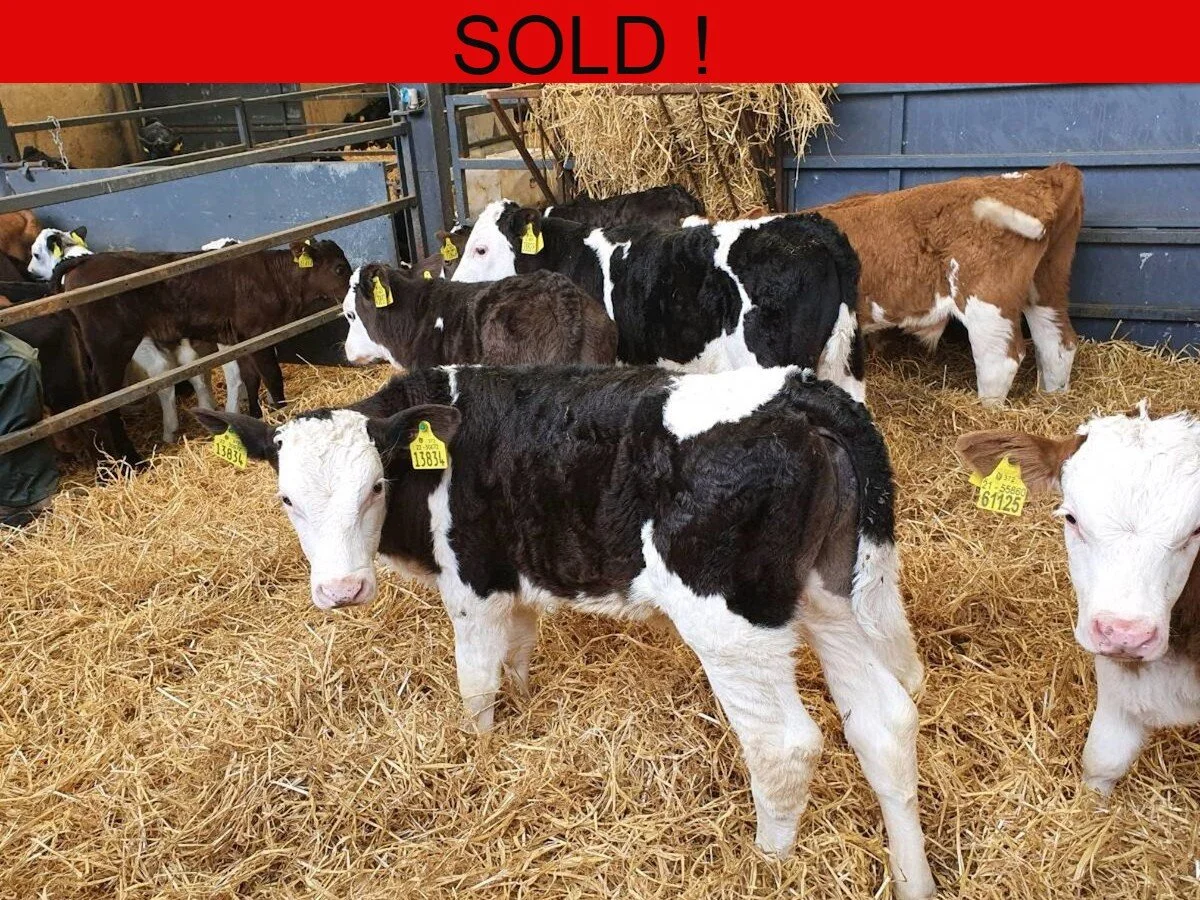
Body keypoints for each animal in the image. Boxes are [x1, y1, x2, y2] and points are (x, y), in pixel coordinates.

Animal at [60, 238, 351, 465]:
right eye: (339, 268)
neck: (276, 280)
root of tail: (84, 263)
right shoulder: (259, 333)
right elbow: (272, 375)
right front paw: (281, 412)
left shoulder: (241, 338)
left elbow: (250, 377)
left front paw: (254, 414)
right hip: (110, 347)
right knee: (106, 402)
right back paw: (132, 459)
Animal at [195, 363, 933, 898]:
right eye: (286, 498)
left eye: (375, 487)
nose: (340, 591)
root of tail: (800, 394)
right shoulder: (515, 581)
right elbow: (518, 657)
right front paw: (523, 715)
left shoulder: (475, 585)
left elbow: (475, 687)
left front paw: (479, 756)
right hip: (828, 599)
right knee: (883, 721)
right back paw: (913, 879)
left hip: (732, 623)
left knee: (783, 744)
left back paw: (767, 865)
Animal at [806, 164, 1084, 406]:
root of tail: (1041, 175)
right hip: (1047, 285)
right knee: (1057, 343)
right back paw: (1052, 398)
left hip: (986, 302)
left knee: (1001, 359)